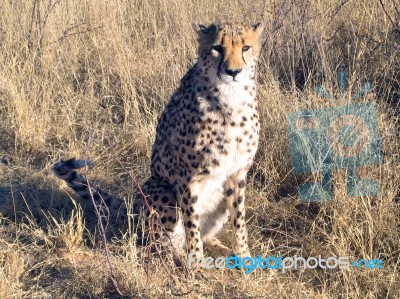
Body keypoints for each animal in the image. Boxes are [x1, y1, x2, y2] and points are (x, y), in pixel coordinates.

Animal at [54, 20, 266, 270]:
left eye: (246, 48)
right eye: (217, 48)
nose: (233, 72)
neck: (231, 97)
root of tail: (135, 207)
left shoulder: (237, 173)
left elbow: (238, 219)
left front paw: (244, 257)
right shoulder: (186, 177)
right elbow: (191, 225)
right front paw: (196, 265)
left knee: (205, 232)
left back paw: (220, 247)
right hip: (161, 189)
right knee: (160, 243)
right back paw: (177, 257)